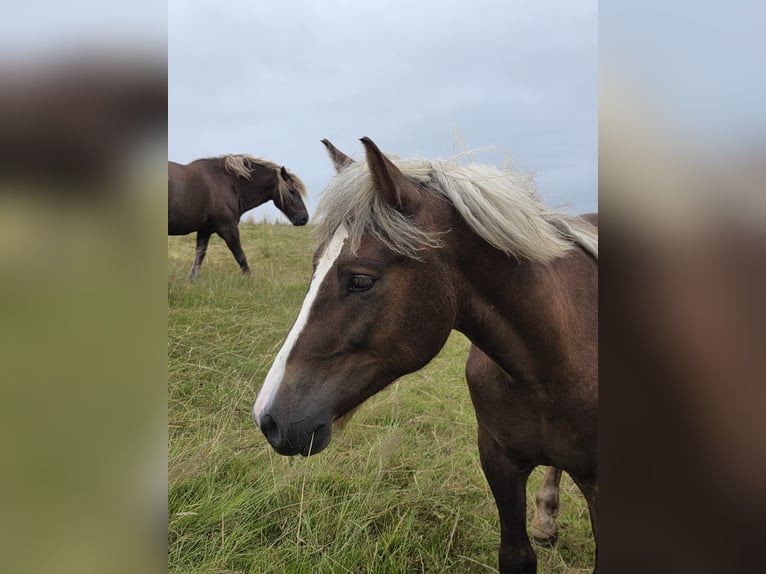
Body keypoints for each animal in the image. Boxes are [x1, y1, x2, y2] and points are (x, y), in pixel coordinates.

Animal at [168, 154, 309, 278]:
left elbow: (200, 254)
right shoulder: (228, 229)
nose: (304, 218)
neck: (224, 182)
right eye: (292, 191)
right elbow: (240, 255)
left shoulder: (205, 230)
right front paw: (249, 279)